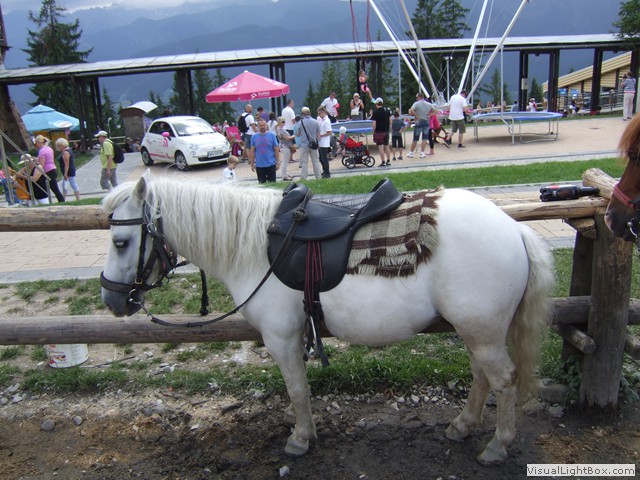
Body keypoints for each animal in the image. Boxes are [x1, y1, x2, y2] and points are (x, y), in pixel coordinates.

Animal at [100, 173, 554, 464]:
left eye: (120, 241)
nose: (111, 299)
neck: (252, 245)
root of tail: (515, 230)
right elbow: (298, 388)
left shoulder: (282, 337)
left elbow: (298, 389)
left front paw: (301, 439)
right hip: (477, 331)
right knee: (481, 377)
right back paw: (462, 425)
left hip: (482, 331)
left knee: (503, 381)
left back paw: (497, 445)